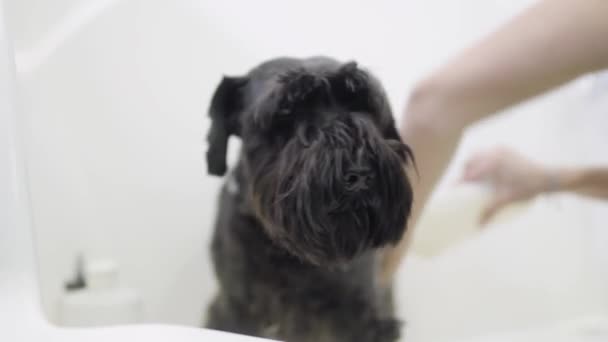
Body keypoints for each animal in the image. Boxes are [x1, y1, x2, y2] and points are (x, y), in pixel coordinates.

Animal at [204, 56, 414, 342]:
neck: (293, 256)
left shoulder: (363, 317)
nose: (360, 173)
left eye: (362, 105)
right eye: (285, 112)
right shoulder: (237, 307)